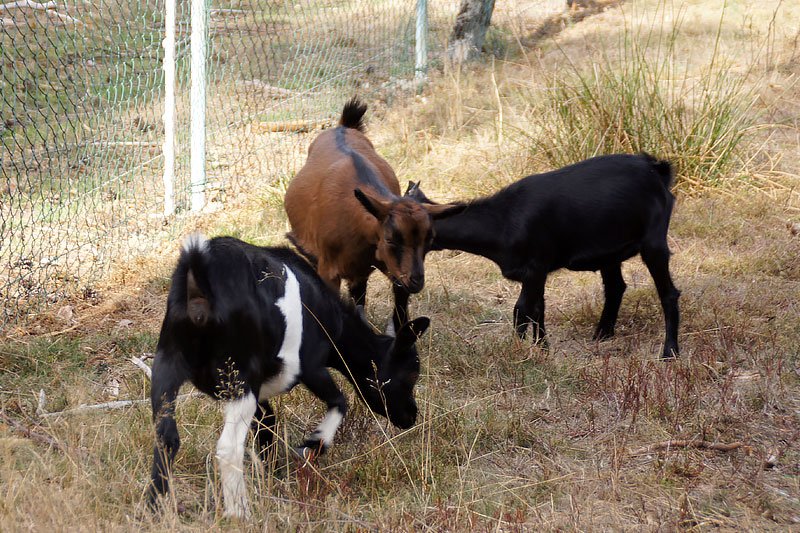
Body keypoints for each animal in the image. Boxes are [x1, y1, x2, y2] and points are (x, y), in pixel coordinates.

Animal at [146, 234, 428, 516]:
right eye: (410, 376)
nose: (411, 416)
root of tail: (200, 278)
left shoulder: (260, 392)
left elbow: (268, 424)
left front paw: (272, 474)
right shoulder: (310, 367)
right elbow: (340, 402)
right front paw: (311, 445)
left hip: (167, 367)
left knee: (167, 437)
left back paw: (155, 507)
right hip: (239, 378)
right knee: (228, 447)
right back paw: (239, 512)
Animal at [284, 97, 454, 330]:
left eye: (430, 239)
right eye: (390, 239)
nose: (417, 281)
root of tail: (343, 126)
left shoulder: (385, 266)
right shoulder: (329, 269)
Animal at [410, 153, 680, 358]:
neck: (503, 221)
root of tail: (656, 169)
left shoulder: (535, 268)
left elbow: (521, 310)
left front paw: (517, 351)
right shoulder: (536, 273)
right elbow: (538, 308)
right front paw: (542, 348)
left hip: (654, 242)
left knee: (668, 293)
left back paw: (670, 352)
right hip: (609, 252)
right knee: (615, 287)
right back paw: (602, 334)